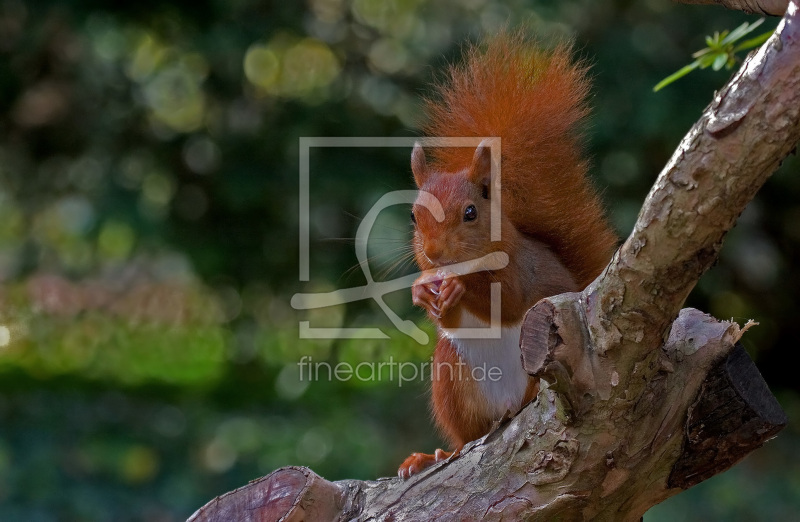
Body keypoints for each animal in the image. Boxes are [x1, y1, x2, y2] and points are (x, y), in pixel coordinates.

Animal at [400, 32, 620, 478]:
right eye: (414, 216)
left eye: (470, 212)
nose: (433, 254)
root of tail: (506, 405)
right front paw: (422, 291)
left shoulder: (520, 272)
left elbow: (508, 301)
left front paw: (459, 285)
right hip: (451, 378)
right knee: (466, 436)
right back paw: (434, 456)